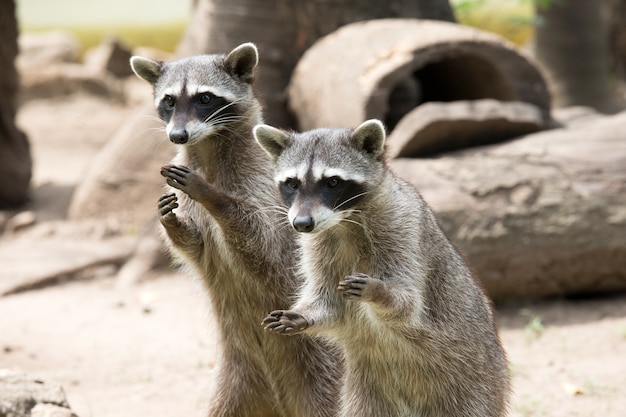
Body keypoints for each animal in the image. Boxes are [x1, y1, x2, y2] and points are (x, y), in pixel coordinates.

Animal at [129, 44, 338, 416]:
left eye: (205, 98)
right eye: (169, 100)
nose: (177, 135)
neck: (208, 148)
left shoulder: (268, 186)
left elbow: (265, 247)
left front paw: (215, 198)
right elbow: (195, 248)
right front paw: (171, 222)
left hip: (320, 363)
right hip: (235, 381)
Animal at [254, 119, 508, 416]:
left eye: (332, 182)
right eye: (292, 183)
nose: (302, 223)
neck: (343, 222)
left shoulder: (403, 227)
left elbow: (409, 302)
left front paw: (379, 291)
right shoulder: (317, 246)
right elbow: (328, 303)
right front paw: (303, 314)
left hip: (473, 385)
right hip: (367, 391)